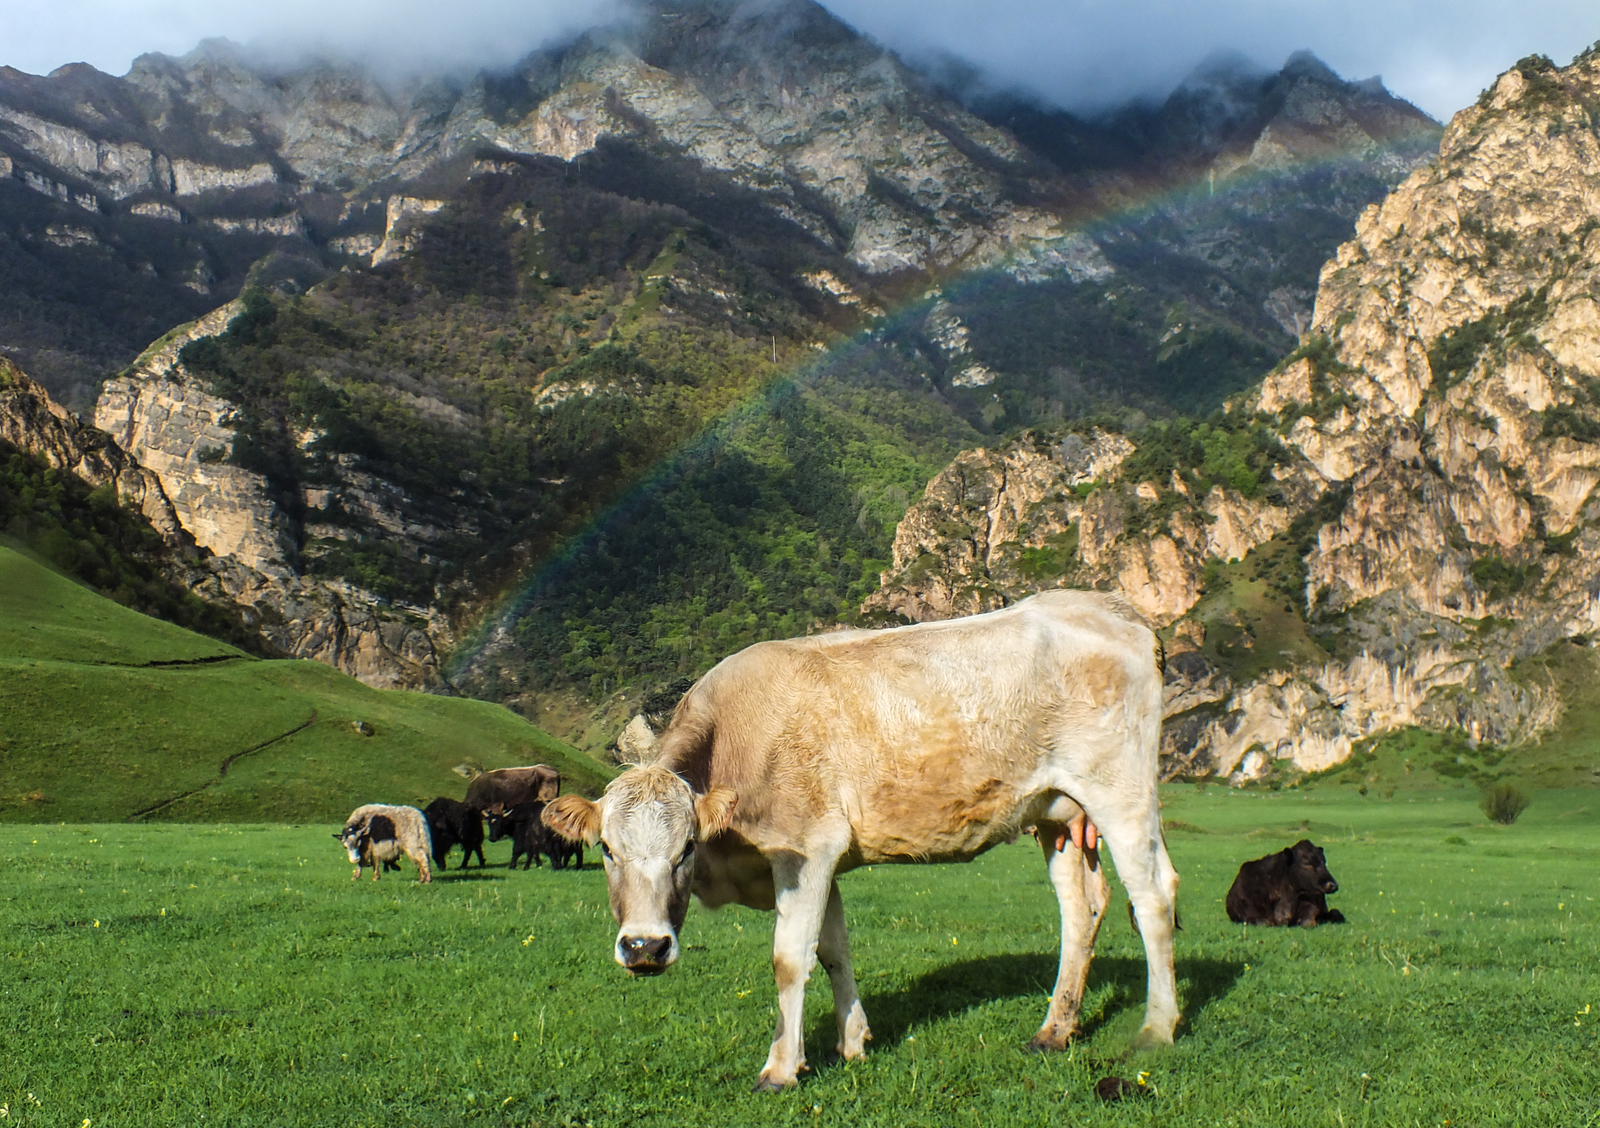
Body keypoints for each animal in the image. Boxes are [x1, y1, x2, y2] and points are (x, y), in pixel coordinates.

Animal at [544, 588, 1184, 1088]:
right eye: (607, 850)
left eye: (685, 850)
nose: (644, 948)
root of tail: (1112, 607)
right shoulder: (824, 859)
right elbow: (833, 951)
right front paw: (852, 1043)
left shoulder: (806, 849)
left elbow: (789, 959)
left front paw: (781, 1069)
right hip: (1057, 813)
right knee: (1083, 909)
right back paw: (1054, 1030)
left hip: (1120, 790)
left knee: (1153, 896)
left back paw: (1157, 1026)